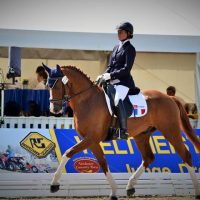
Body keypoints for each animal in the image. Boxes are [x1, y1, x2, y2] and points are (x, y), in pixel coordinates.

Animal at [43, 64, 200, 200]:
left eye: (57, 85)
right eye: (47, 86)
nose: (54, 109)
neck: (87, 100)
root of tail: (170, 98)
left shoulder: (91, 138)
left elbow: (68, 153)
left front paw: (54, 184)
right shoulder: (91, 141)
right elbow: (103, 163)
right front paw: (113, 192)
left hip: (170, 130)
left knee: (186, 155)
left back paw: (196, 191)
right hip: (142, 135)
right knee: (148, 158)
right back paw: (130, 186)